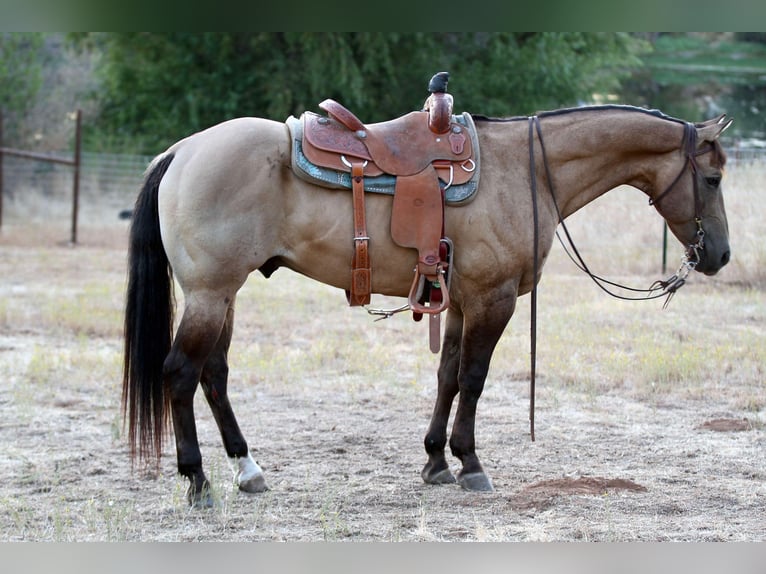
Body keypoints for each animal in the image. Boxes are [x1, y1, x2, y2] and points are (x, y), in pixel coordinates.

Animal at [123, 82, 736, 508]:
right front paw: (470, 464)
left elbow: (447, 375)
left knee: (214, 375)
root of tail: (182, 151)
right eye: (713, 179)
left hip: (223, 295)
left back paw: (248, 470)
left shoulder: (461, 300)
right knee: (181, 372)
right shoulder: (494, 298)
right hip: (210, 294)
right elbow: (474, 378)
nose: (720, 255)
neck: (526, 171)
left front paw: (436, 462)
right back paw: (198, 481)